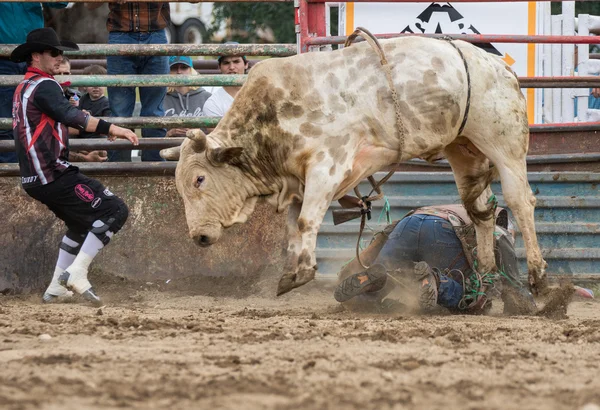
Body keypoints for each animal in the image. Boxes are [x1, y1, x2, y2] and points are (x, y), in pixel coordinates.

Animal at [161, 35, 548, 296]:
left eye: (199, 179)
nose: (198, 237)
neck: (272, 116)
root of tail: (501, 68)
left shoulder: (327, 165)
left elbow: (306, 221)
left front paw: (303, 273)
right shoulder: (297, 180)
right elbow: (294, 227)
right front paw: (290, 274)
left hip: (504, 144)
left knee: (519, 201)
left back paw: (538, 277)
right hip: (465, 151)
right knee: (480, 211)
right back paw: (486, 276)